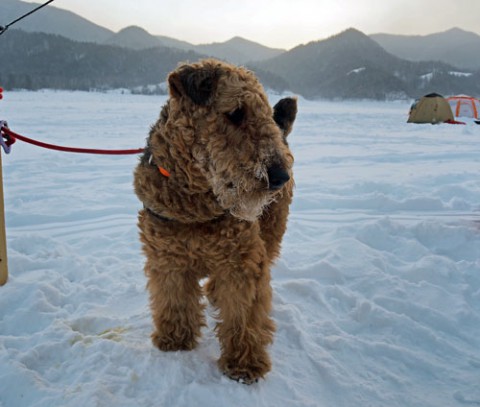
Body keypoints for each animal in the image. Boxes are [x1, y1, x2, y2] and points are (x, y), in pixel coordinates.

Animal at [134, 59, 296, 384]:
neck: (195, 202)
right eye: (235, 113)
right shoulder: (166, 258)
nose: (279, 177)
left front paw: (245, 363)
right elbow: (174, 299)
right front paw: (175, 339)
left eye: (261, 113)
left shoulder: (242, 262)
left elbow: (243, 314)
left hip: (271, 231)